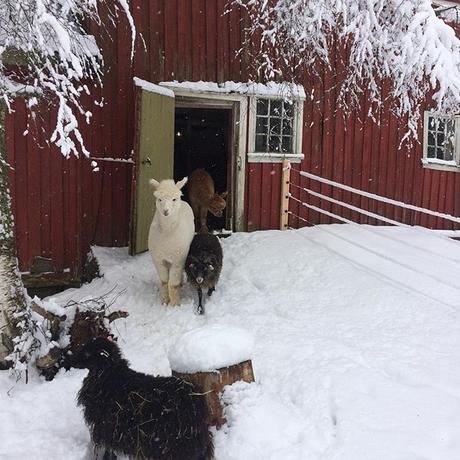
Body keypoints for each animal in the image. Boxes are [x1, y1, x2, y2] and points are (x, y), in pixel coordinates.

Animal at [74, 334, 214, 460]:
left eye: (87, 353)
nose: (71, 360)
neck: (110, 375)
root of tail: (196, 398)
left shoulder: (106, 427)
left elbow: (109, 451)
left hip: (178, 441)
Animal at [147, 178, 194, 308]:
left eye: (174, 199)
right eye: (159, 199)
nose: (165, 211)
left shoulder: (178, 259)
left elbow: (173, 284)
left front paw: (174, 305)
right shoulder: (158, 259)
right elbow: (164, 282)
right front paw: (164, 301)